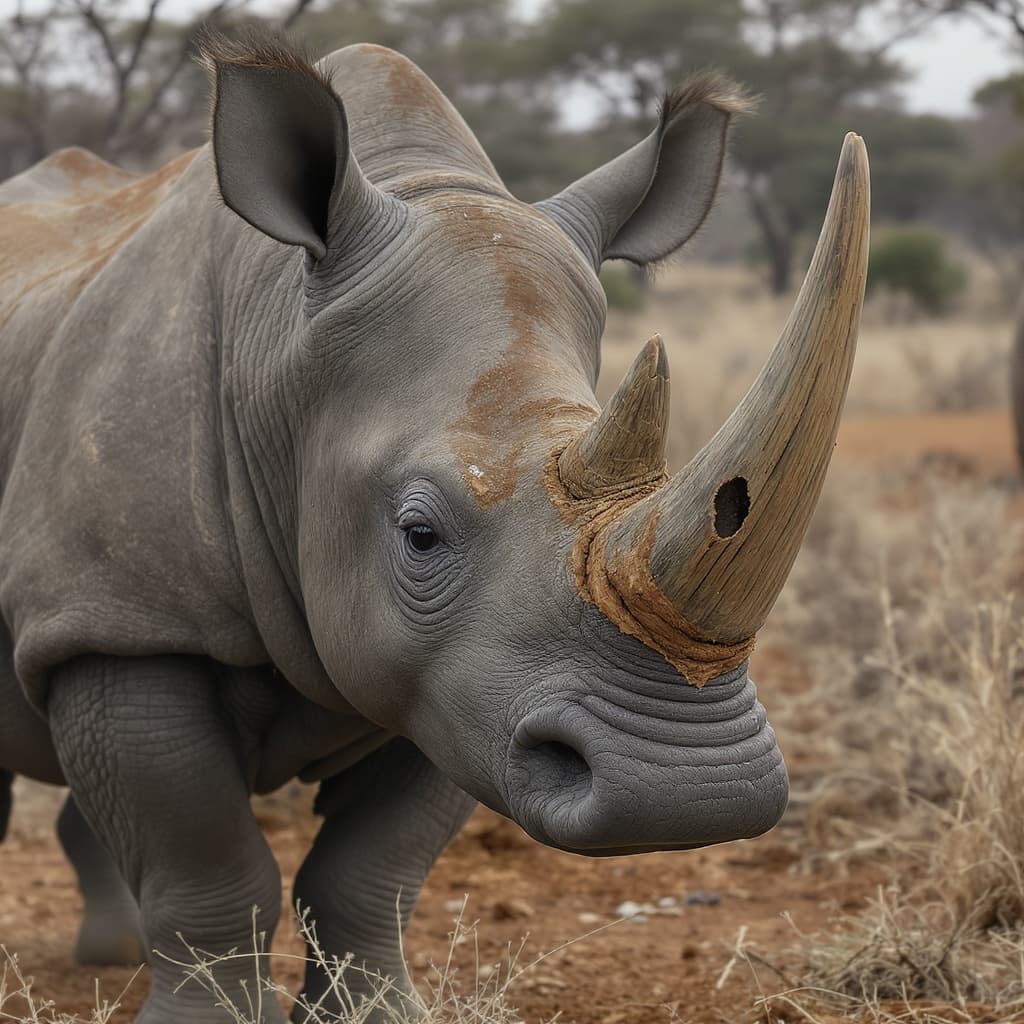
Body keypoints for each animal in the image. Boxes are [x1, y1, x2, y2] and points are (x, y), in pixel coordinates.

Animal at [0, 32, 869, 1024]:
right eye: (419, 534)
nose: (687, 791)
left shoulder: (462, 674)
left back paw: (110, 959)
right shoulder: (121, 619)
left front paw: (376, 1014)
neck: (279, 354)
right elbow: (206, 861)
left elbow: (372, 866)